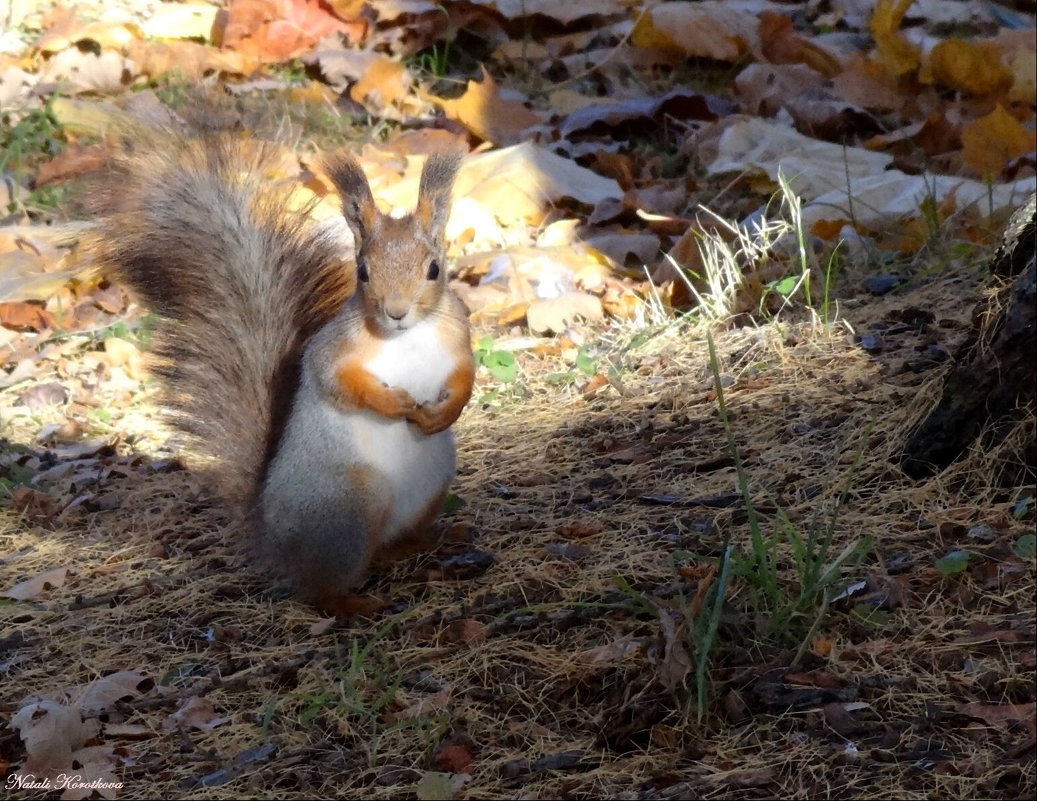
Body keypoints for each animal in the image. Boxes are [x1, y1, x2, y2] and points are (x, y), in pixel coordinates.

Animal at [91, 131, 474, 605]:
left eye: (434, 268)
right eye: (363, 271)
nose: (396, 311)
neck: (409, 335)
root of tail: (270, 538)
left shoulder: (458, 339)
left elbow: (466, 377)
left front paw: (446, 412)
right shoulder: (331, 351)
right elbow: (339, 383)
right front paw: (392, 403)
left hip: (431, 484)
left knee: (387, 547)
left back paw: (428, 541)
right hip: (349, 505)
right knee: (318, 587)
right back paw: (354, 605)